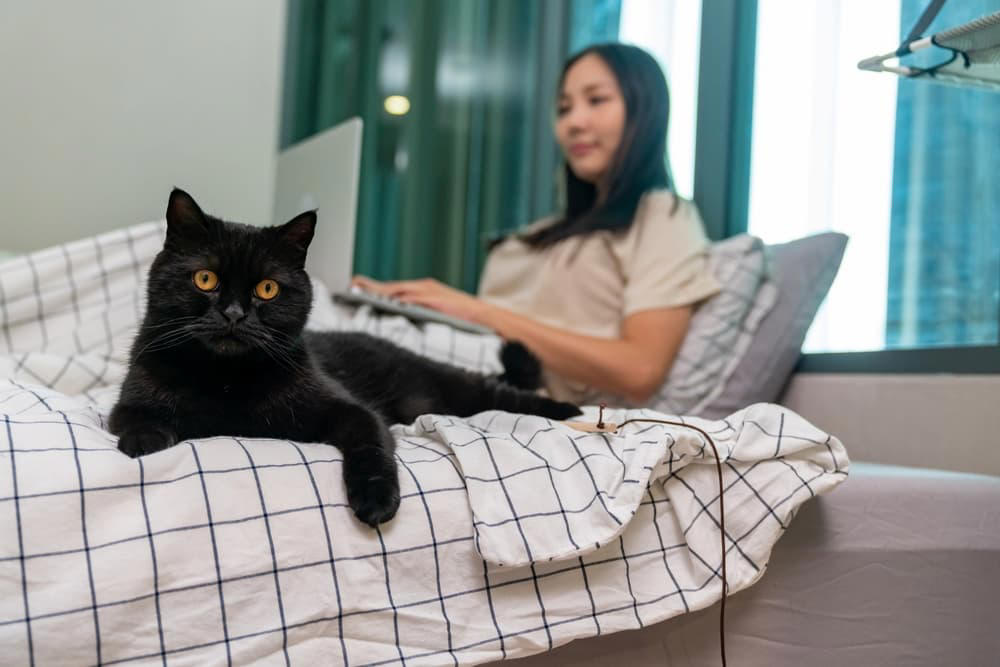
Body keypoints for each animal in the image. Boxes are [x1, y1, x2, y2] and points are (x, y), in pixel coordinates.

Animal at [109, 188, 580, 528]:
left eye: (267, 289)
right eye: (205, 278)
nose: (234, 314)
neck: (225, 380)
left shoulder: (352, 411)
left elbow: (372, 444)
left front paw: (376, 501)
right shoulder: (129, 399)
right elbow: (136, 417)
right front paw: (145, 441)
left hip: (456, 390)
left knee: (503, 394)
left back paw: (571, 411)